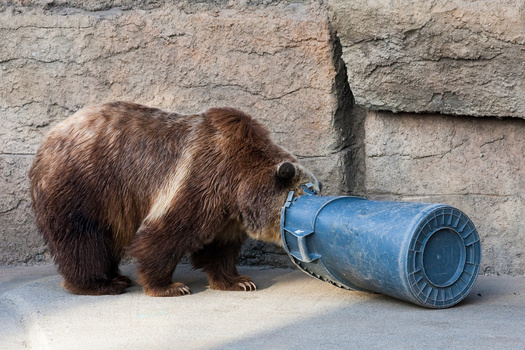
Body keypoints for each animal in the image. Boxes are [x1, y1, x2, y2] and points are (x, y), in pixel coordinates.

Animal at [30, 102, 322, 296]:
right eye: (302, 196)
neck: (238, 184)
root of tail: (47, 140)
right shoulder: (200, 178)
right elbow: (166, 234)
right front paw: (169, 286)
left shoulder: (227, 213)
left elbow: (220, 247)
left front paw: (238, 281)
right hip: (85, 183)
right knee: (83, 237)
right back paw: (101, 283)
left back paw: (114, 276)